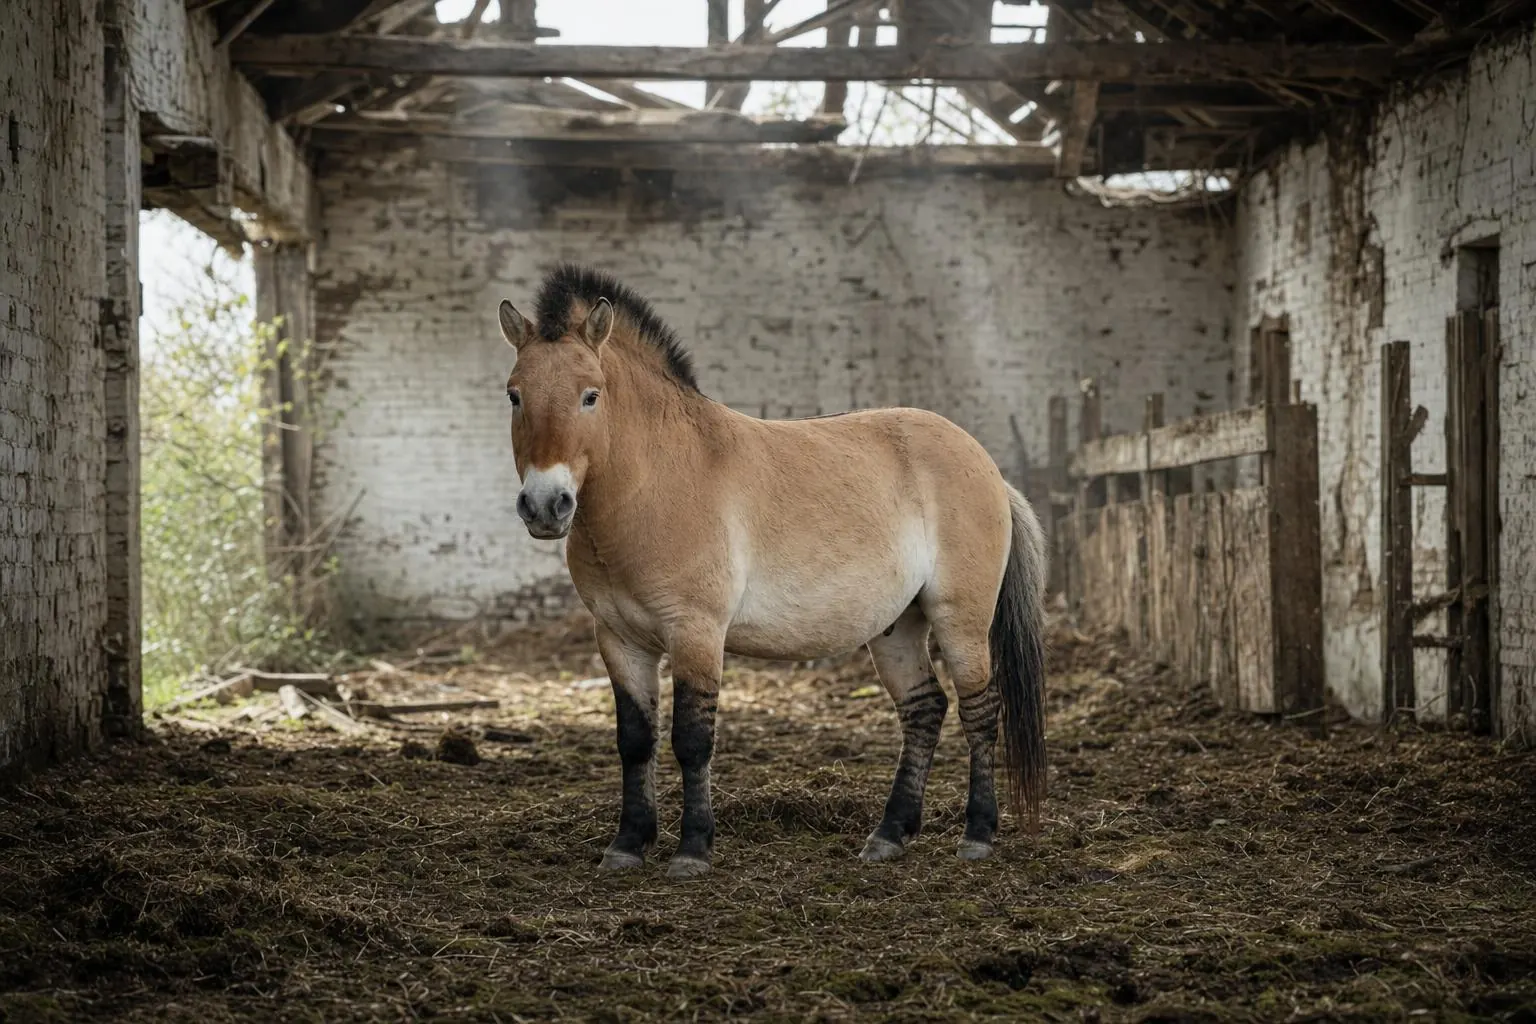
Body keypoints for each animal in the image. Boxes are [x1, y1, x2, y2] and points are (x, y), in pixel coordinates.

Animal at [497, 264, 1047, 879]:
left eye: (590, 396)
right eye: (515, 395)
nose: (546, 506)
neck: (658, 478)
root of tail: (987, 467)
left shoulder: (696, 632)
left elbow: (692, 740)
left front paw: (692, 850)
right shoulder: (619, 639)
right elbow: (635, 740)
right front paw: (627, 845)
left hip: (961, 620)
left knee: (980, 711)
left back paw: (977, 835)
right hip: (897, 626)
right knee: (925, 709)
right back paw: (889, 835)